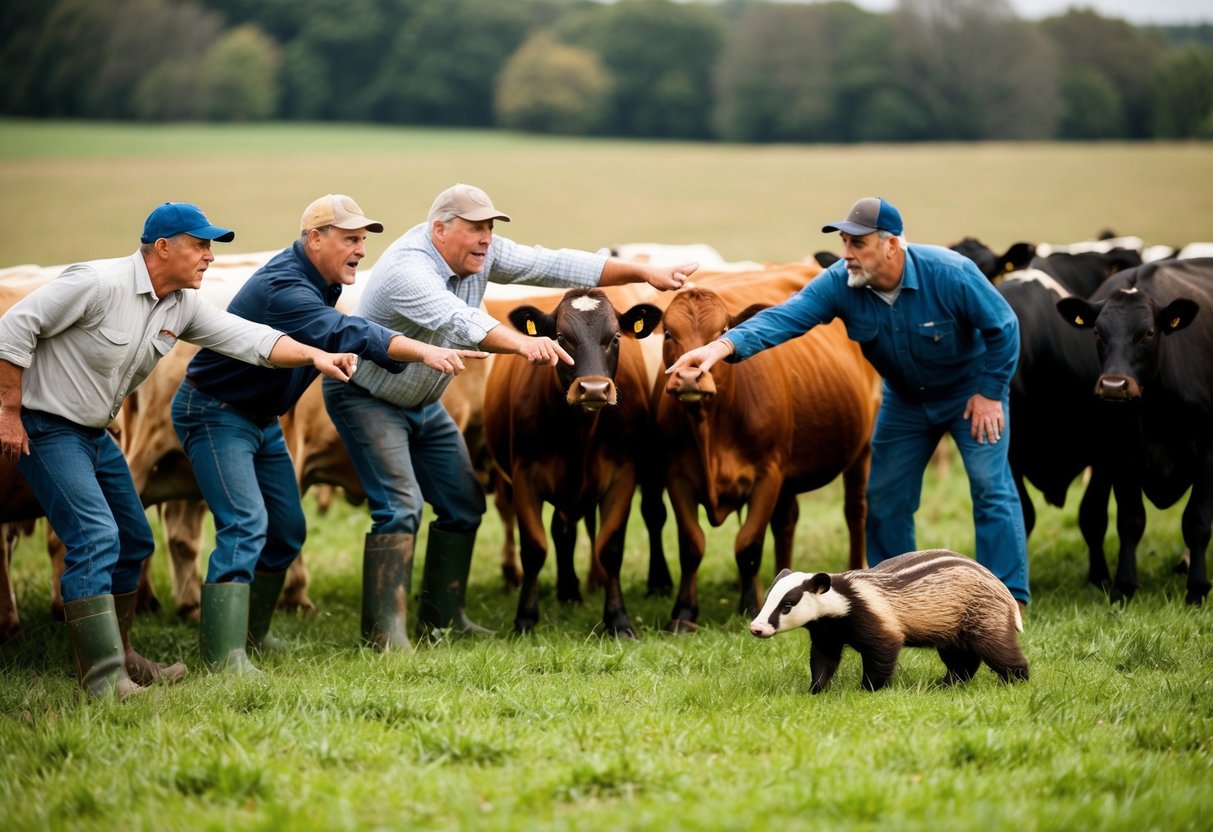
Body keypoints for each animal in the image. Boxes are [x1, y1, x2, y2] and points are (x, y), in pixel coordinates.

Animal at [483, 287, 663, 636]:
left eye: (615, 337)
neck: (578, 434)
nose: (593, 389)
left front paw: (618, 619)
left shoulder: (622, 477)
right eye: (561, 337)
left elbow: (610, 548)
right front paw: (525, 618)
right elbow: (534, 548)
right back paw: (567, 591)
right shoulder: (525, 478)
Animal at [655, 267, 881, 631]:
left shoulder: (767, 475)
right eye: (667, 333)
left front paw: (750, 605)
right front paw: (684, 613)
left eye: (722, 332)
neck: (710, 427)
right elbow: (691, 545)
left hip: (862, 448)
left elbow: (748, 545)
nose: (690, 376)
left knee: (855, 512)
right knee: (786, 523)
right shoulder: (677, 475)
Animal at [1057, 258, 1213, 604]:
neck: (1155, 411)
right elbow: (1130, 521)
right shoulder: (1121, 456)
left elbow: (1196, 521)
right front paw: (1123, 587)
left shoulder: (1210, 456)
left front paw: (1197, 589)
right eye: (1097, 332)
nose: (1114, 385)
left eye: (1148, 333)